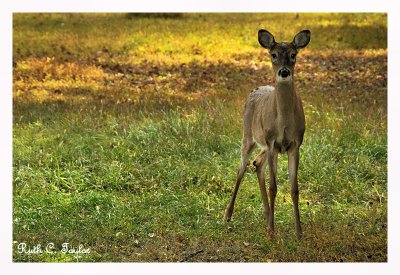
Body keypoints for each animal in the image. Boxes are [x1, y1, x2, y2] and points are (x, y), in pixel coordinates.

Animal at [225, 30, 310, 242]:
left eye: (293, 55)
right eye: (273, 55)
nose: (284, 72)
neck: (284, 122)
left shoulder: (295, 145)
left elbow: (294, 189)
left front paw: (299, 233)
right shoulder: (272, 143)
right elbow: (273, 188)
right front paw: (271, 233)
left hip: (265, 146)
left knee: (257, 163)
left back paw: (266, 215)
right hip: (248, 136)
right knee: (241, 168)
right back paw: (228, 214)